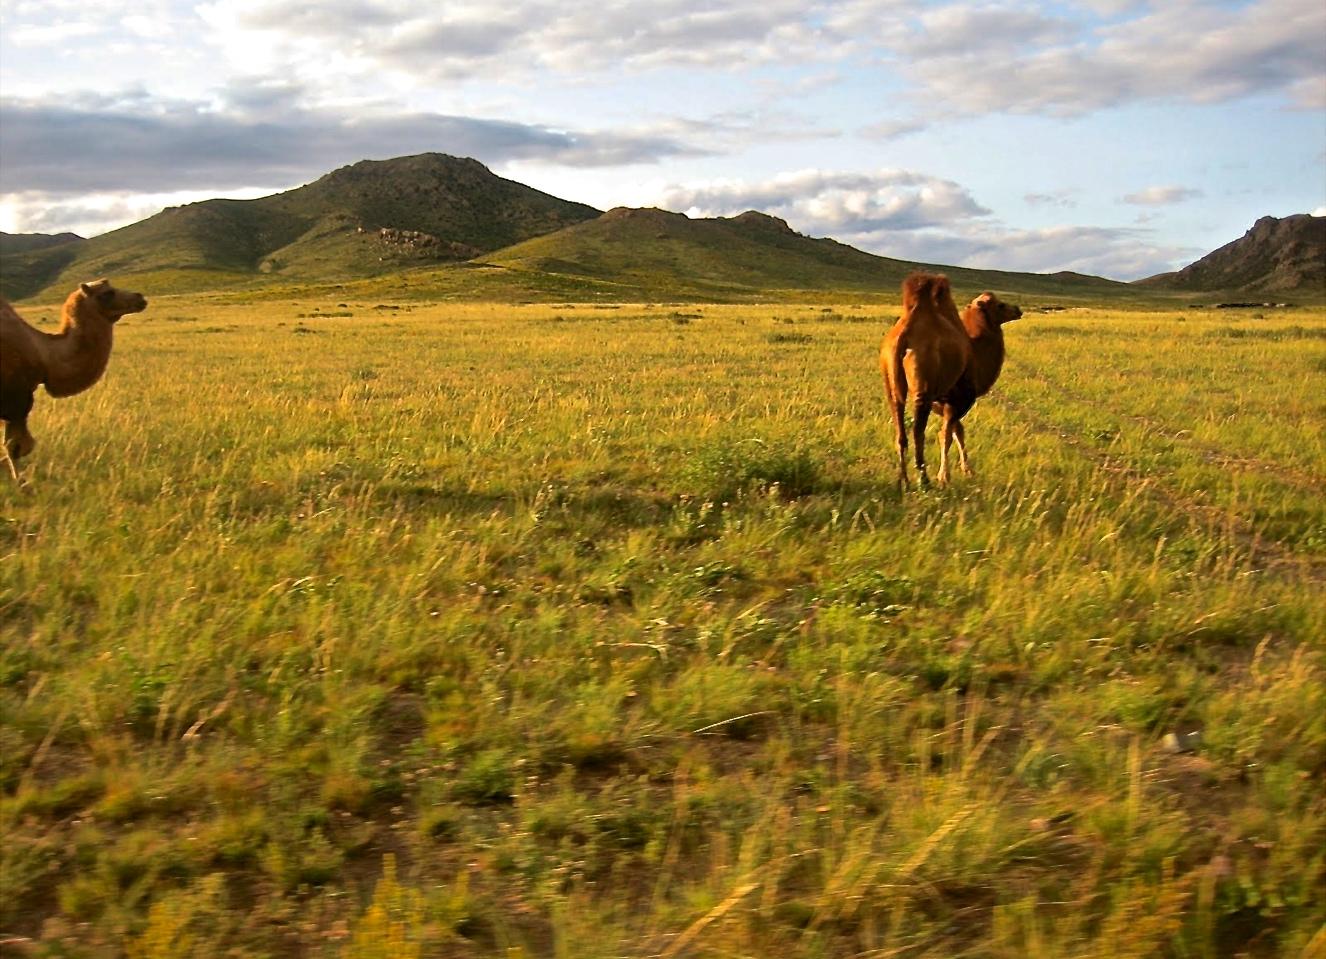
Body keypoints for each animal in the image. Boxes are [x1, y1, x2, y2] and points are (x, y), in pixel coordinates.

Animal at [1, 279, 148, 477]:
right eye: (107, 293)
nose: (140, 297)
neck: (45, 354)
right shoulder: (16, 399)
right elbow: (15, 447)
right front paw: (20, 482)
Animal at [880, 273, 972, 489]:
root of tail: (904, 334)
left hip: (889, 376)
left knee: (900, 430)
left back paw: (903, 480)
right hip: (924, 386)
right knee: (917, 430)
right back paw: (924, 480)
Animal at [933, 292, 1022, 479]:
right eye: (1000, 305)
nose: (1018, 310)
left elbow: (959, 432)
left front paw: (967, 470)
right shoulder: (956, 403)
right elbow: (948, 434)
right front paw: (946, 475)